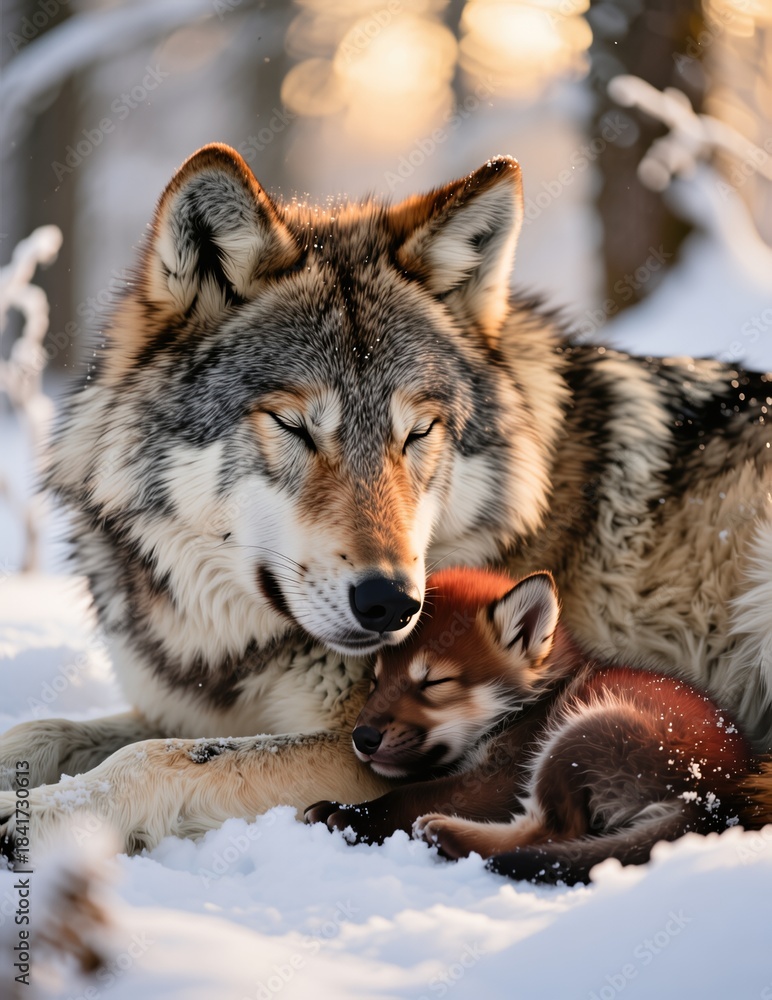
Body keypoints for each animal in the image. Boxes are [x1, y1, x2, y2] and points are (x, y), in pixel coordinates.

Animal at [306, 567, 771, 884]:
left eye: (433, 682)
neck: (533, 704)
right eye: (376, 680)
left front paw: (354, 816)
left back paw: (446, 835)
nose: (362, 738)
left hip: (578, 736)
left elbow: (407, 796)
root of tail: (718, 798)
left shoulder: (503, 777)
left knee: (553, 833)